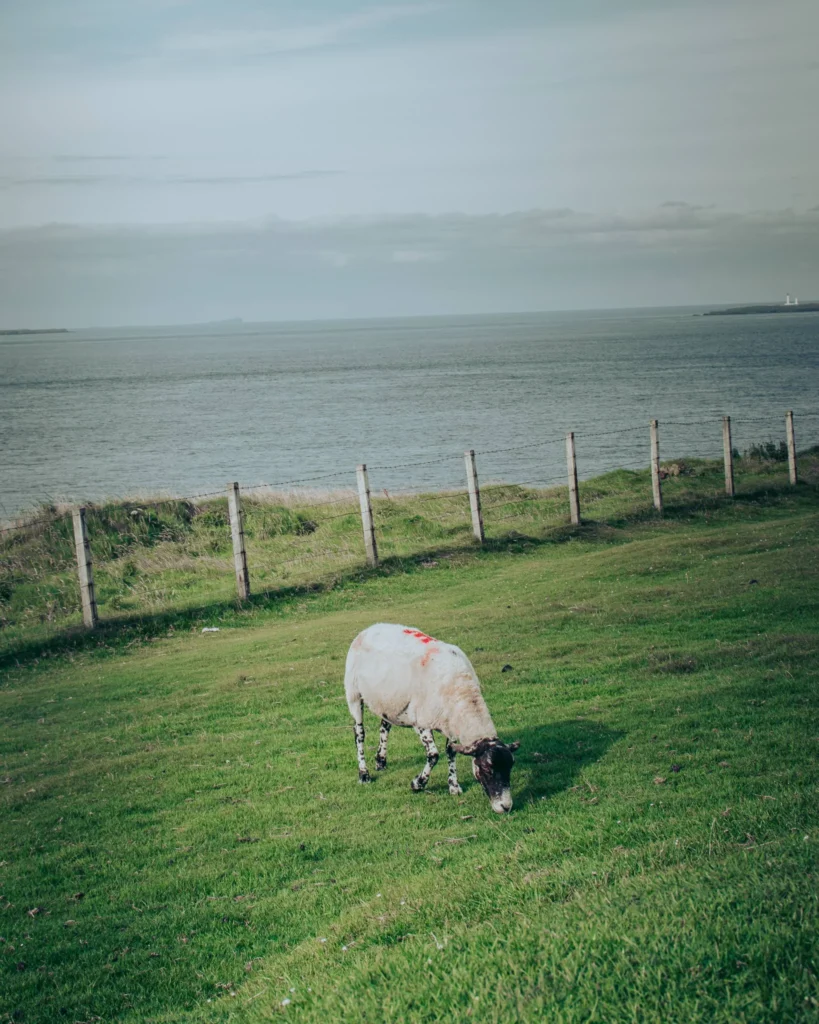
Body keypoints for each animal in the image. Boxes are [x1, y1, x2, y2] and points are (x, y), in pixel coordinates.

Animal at [344, 622, 519, 813]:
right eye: (487, 769)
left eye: (511, 767)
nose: (506, 806)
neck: (461, 689)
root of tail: (371, 627)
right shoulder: (421, 722)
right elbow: (434, 755)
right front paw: (417, 784)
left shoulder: (450, 724)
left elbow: (451, 751)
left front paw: (454, 786)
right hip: (353, 694)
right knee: (359, 733)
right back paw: (364, 774)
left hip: (390, 701)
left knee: (385, 725)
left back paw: (381, 761)